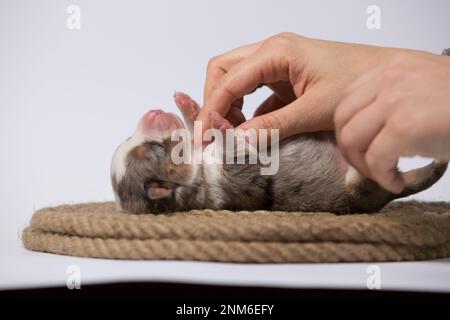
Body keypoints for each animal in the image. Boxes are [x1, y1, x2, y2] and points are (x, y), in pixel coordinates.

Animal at [110, 92, 446, 215]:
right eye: (153, 149)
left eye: (129, 137)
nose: (152, 111)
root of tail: (388, 195)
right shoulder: (237, 180)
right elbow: (235, 148)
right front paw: (221, 124)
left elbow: (201, 130)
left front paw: (191, 107)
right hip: (359, 187)